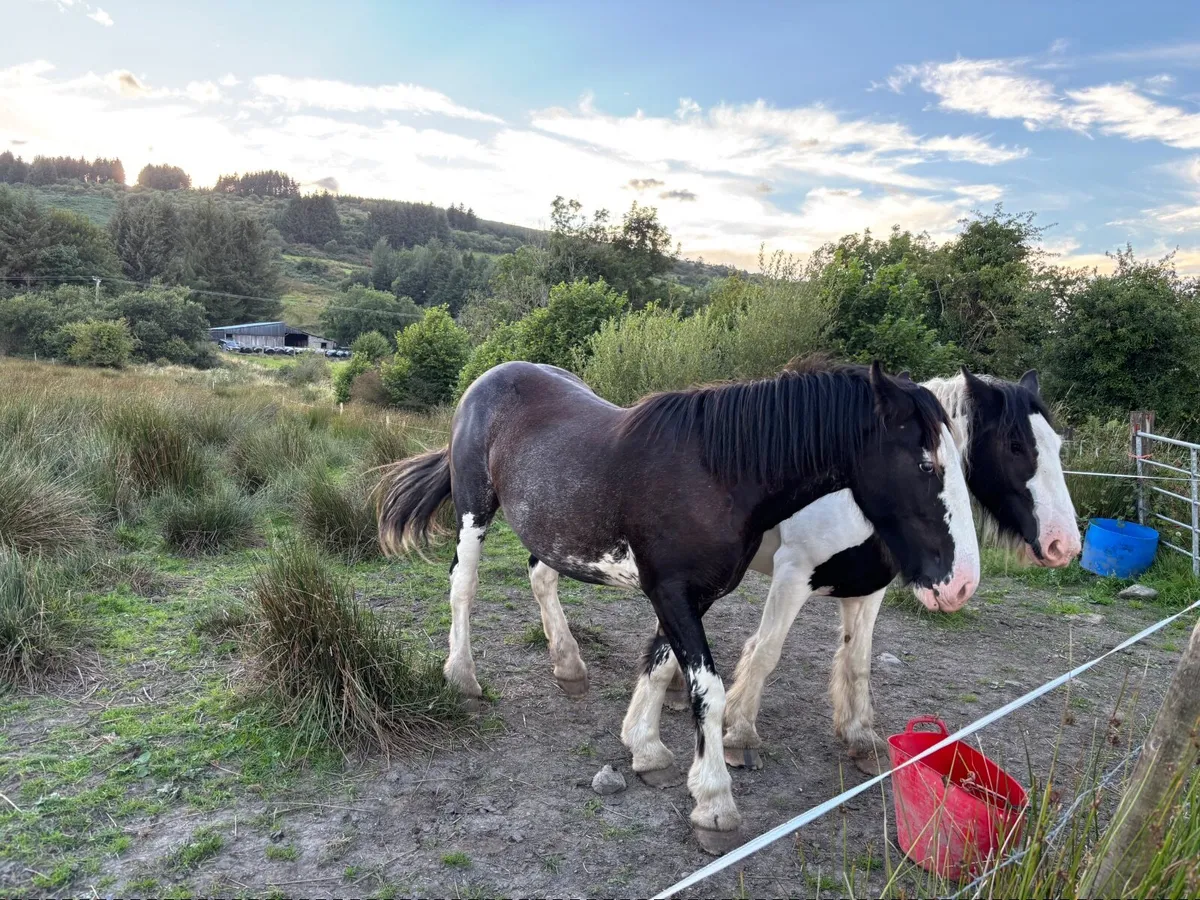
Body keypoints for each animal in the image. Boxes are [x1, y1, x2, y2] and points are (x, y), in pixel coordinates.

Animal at [377, 359, 980, 854]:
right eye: (925, 464)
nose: (961, 585)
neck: (719, 475)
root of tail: (490, 378)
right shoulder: (672, 592)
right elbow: (706, 691)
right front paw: (714, 804)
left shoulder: (691, 595)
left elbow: (660, 662)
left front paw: (645, 748)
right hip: (474, 510)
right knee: (463, 584)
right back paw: (462, 676)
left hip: (554, 531)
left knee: (541, 575)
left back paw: (568, 666)